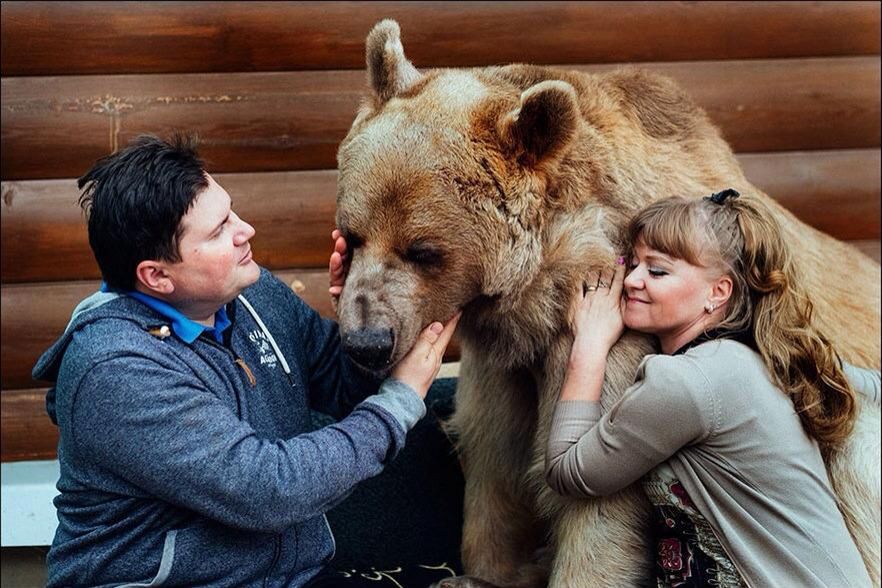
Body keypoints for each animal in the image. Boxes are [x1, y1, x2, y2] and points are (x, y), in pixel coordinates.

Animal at [332, 18, 880, 588]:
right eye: (352, 235)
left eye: (423, 251)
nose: (367, 341)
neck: (540, 291)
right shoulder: (504, 354)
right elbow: (495, 449)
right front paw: (483, 570)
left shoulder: (615, 334)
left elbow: (594, 493)